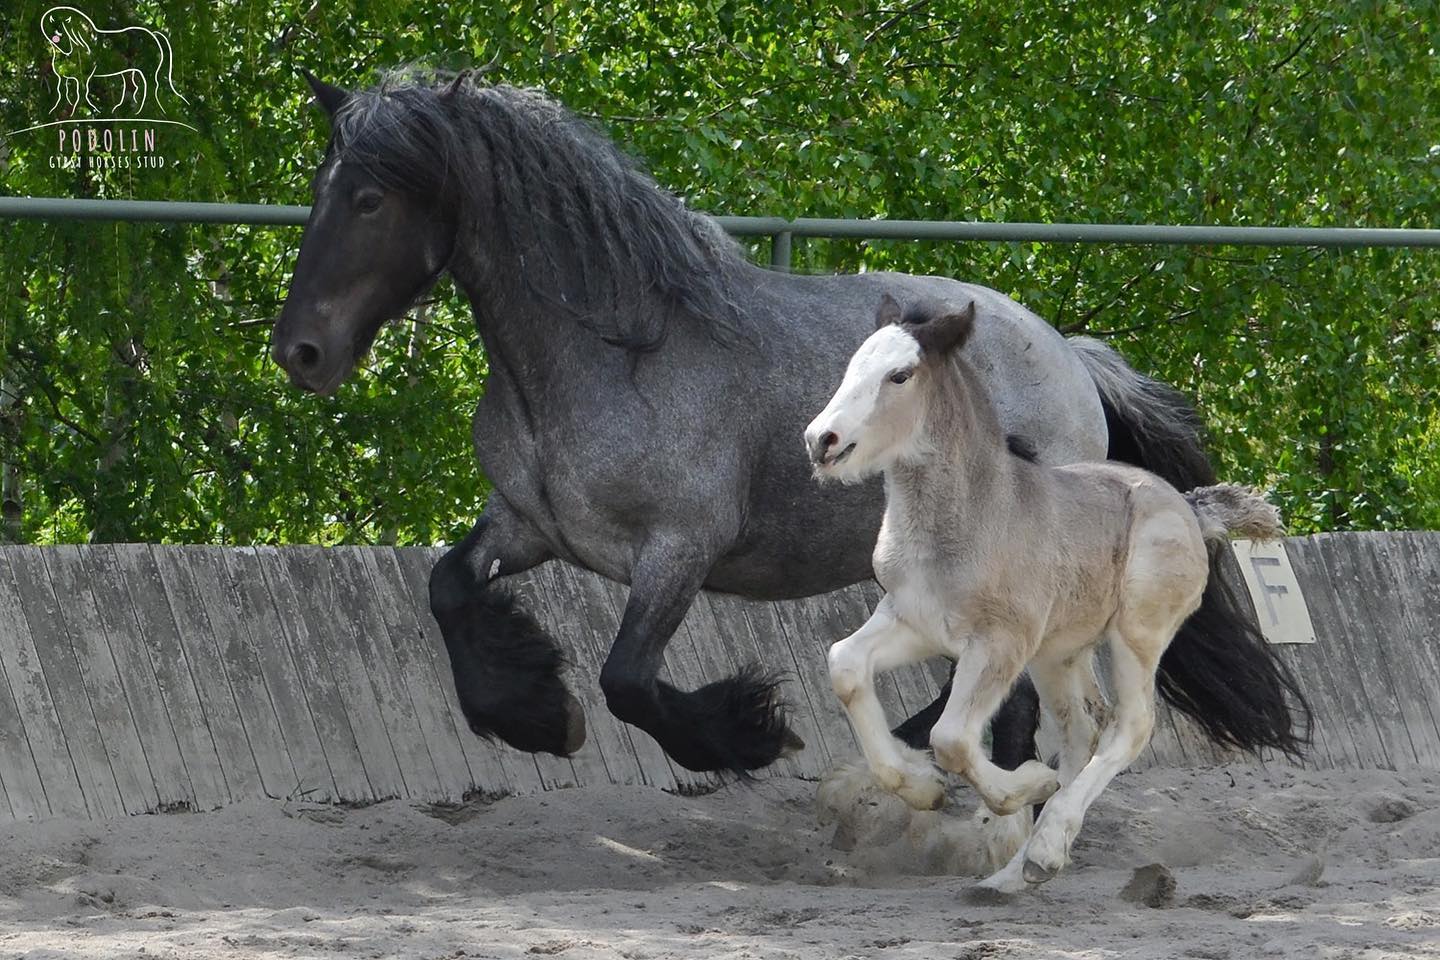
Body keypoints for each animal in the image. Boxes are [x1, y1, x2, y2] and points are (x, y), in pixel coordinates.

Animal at [267, 69, 1307, 771]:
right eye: (319, 191)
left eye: (369, 198)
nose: (300, 353)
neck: (610, 353)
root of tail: (1071, 357)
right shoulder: (528, 527)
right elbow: (449, 589)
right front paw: (529, 714)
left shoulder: (677, 550)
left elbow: (627, 680)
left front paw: (744, 734)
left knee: (1006, 698)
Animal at [806, 296, 1290, 898]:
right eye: (853, 365)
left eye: (900, 375)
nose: (820, 440)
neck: (971, 516)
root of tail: (1188, 506)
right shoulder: (913, 621)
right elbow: (845, 665)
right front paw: (918, 786)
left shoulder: (1000, 643)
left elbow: (953, 738)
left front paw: (1026, 784)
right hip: (1058, 653)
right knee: (1083, 729)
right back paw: (1013, 873)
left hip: (1134, 635)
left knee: (1130, 725)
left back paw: (1044, 846)